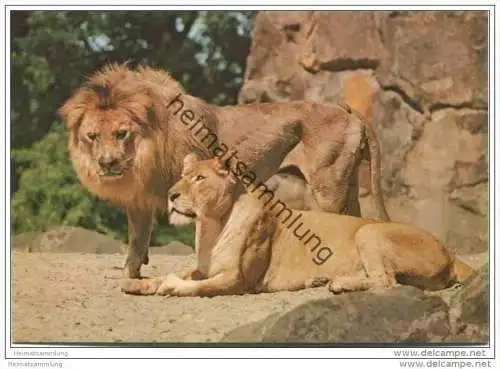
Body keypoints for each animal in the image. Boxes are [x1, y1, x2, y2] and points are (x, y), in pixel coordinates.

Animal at [57, 64, 386, 278]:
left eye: (121, 133)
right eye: (92, 136)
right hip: (348, 185)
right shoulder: (139, 201)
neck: (145, 150)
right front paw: (130, 278)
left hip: (328, 186)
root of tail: (346, 108)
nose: (108, 163)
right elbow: (137, 242)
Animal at [121, 154, 472, 298]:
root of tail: (450, 251)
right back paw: (323, 280)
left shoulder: (237, 279)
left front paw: (170, 286)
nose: (171, 194)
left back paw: (338, 284)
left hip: (369, 231)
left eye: (199, 179)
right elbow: (182, 273)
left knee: (387, 282)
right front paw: (139, 284)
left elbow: (194, 286)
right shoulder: (204, 267)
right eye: (182, 176)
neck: (210, 226)